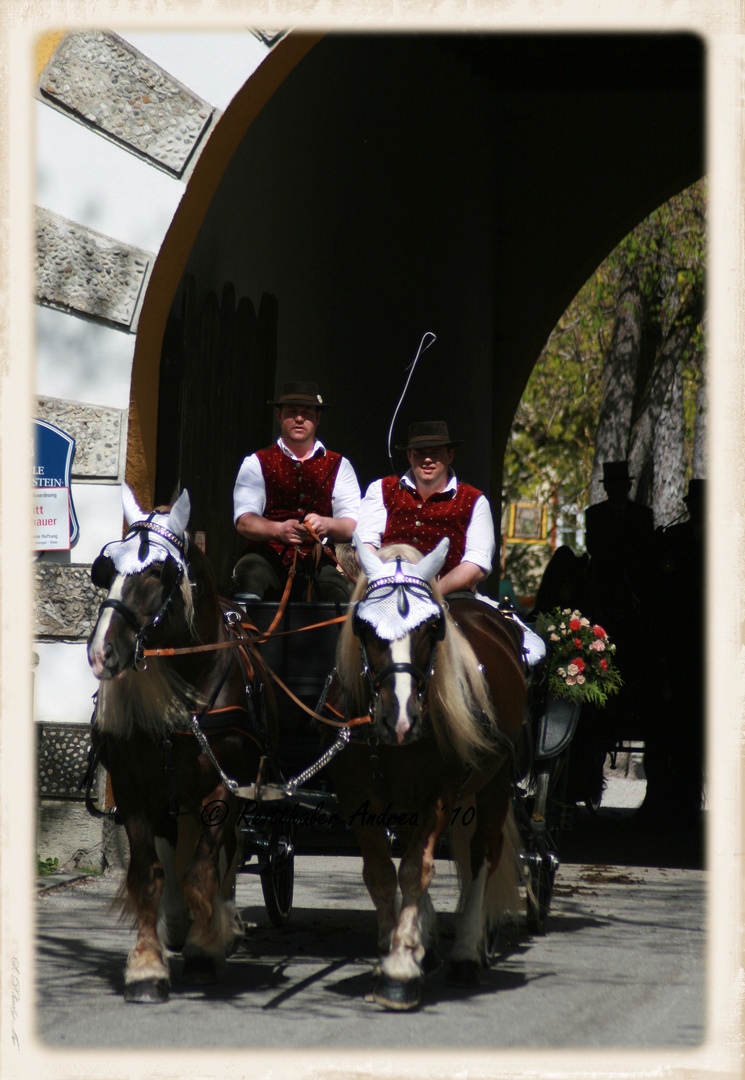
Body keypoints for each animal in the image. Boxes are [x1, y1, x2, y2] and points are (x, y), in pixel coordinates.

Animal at [86, 488, 273, 1002]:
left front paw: (207, 946)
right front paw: (147, 967)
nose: (101, 652)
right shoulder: (133, 788)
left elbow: (203, 873)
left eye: (157, 573)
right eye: (105, 569)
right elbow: (147, 876)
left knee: (228, 852)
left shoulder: (225, 787)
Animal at [321, 535, 524, 1006]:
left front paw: (399, 971)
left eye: (432, 628)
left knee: (483, 852)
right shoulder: (357, 796)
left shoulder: (440, 792)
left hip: (496, 781)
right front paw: (395, 949)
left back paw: (465, 953)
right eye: (363, 627)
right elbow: (381, 872)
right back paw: (424, 945)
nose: (399, 719)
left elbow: (416, 868)